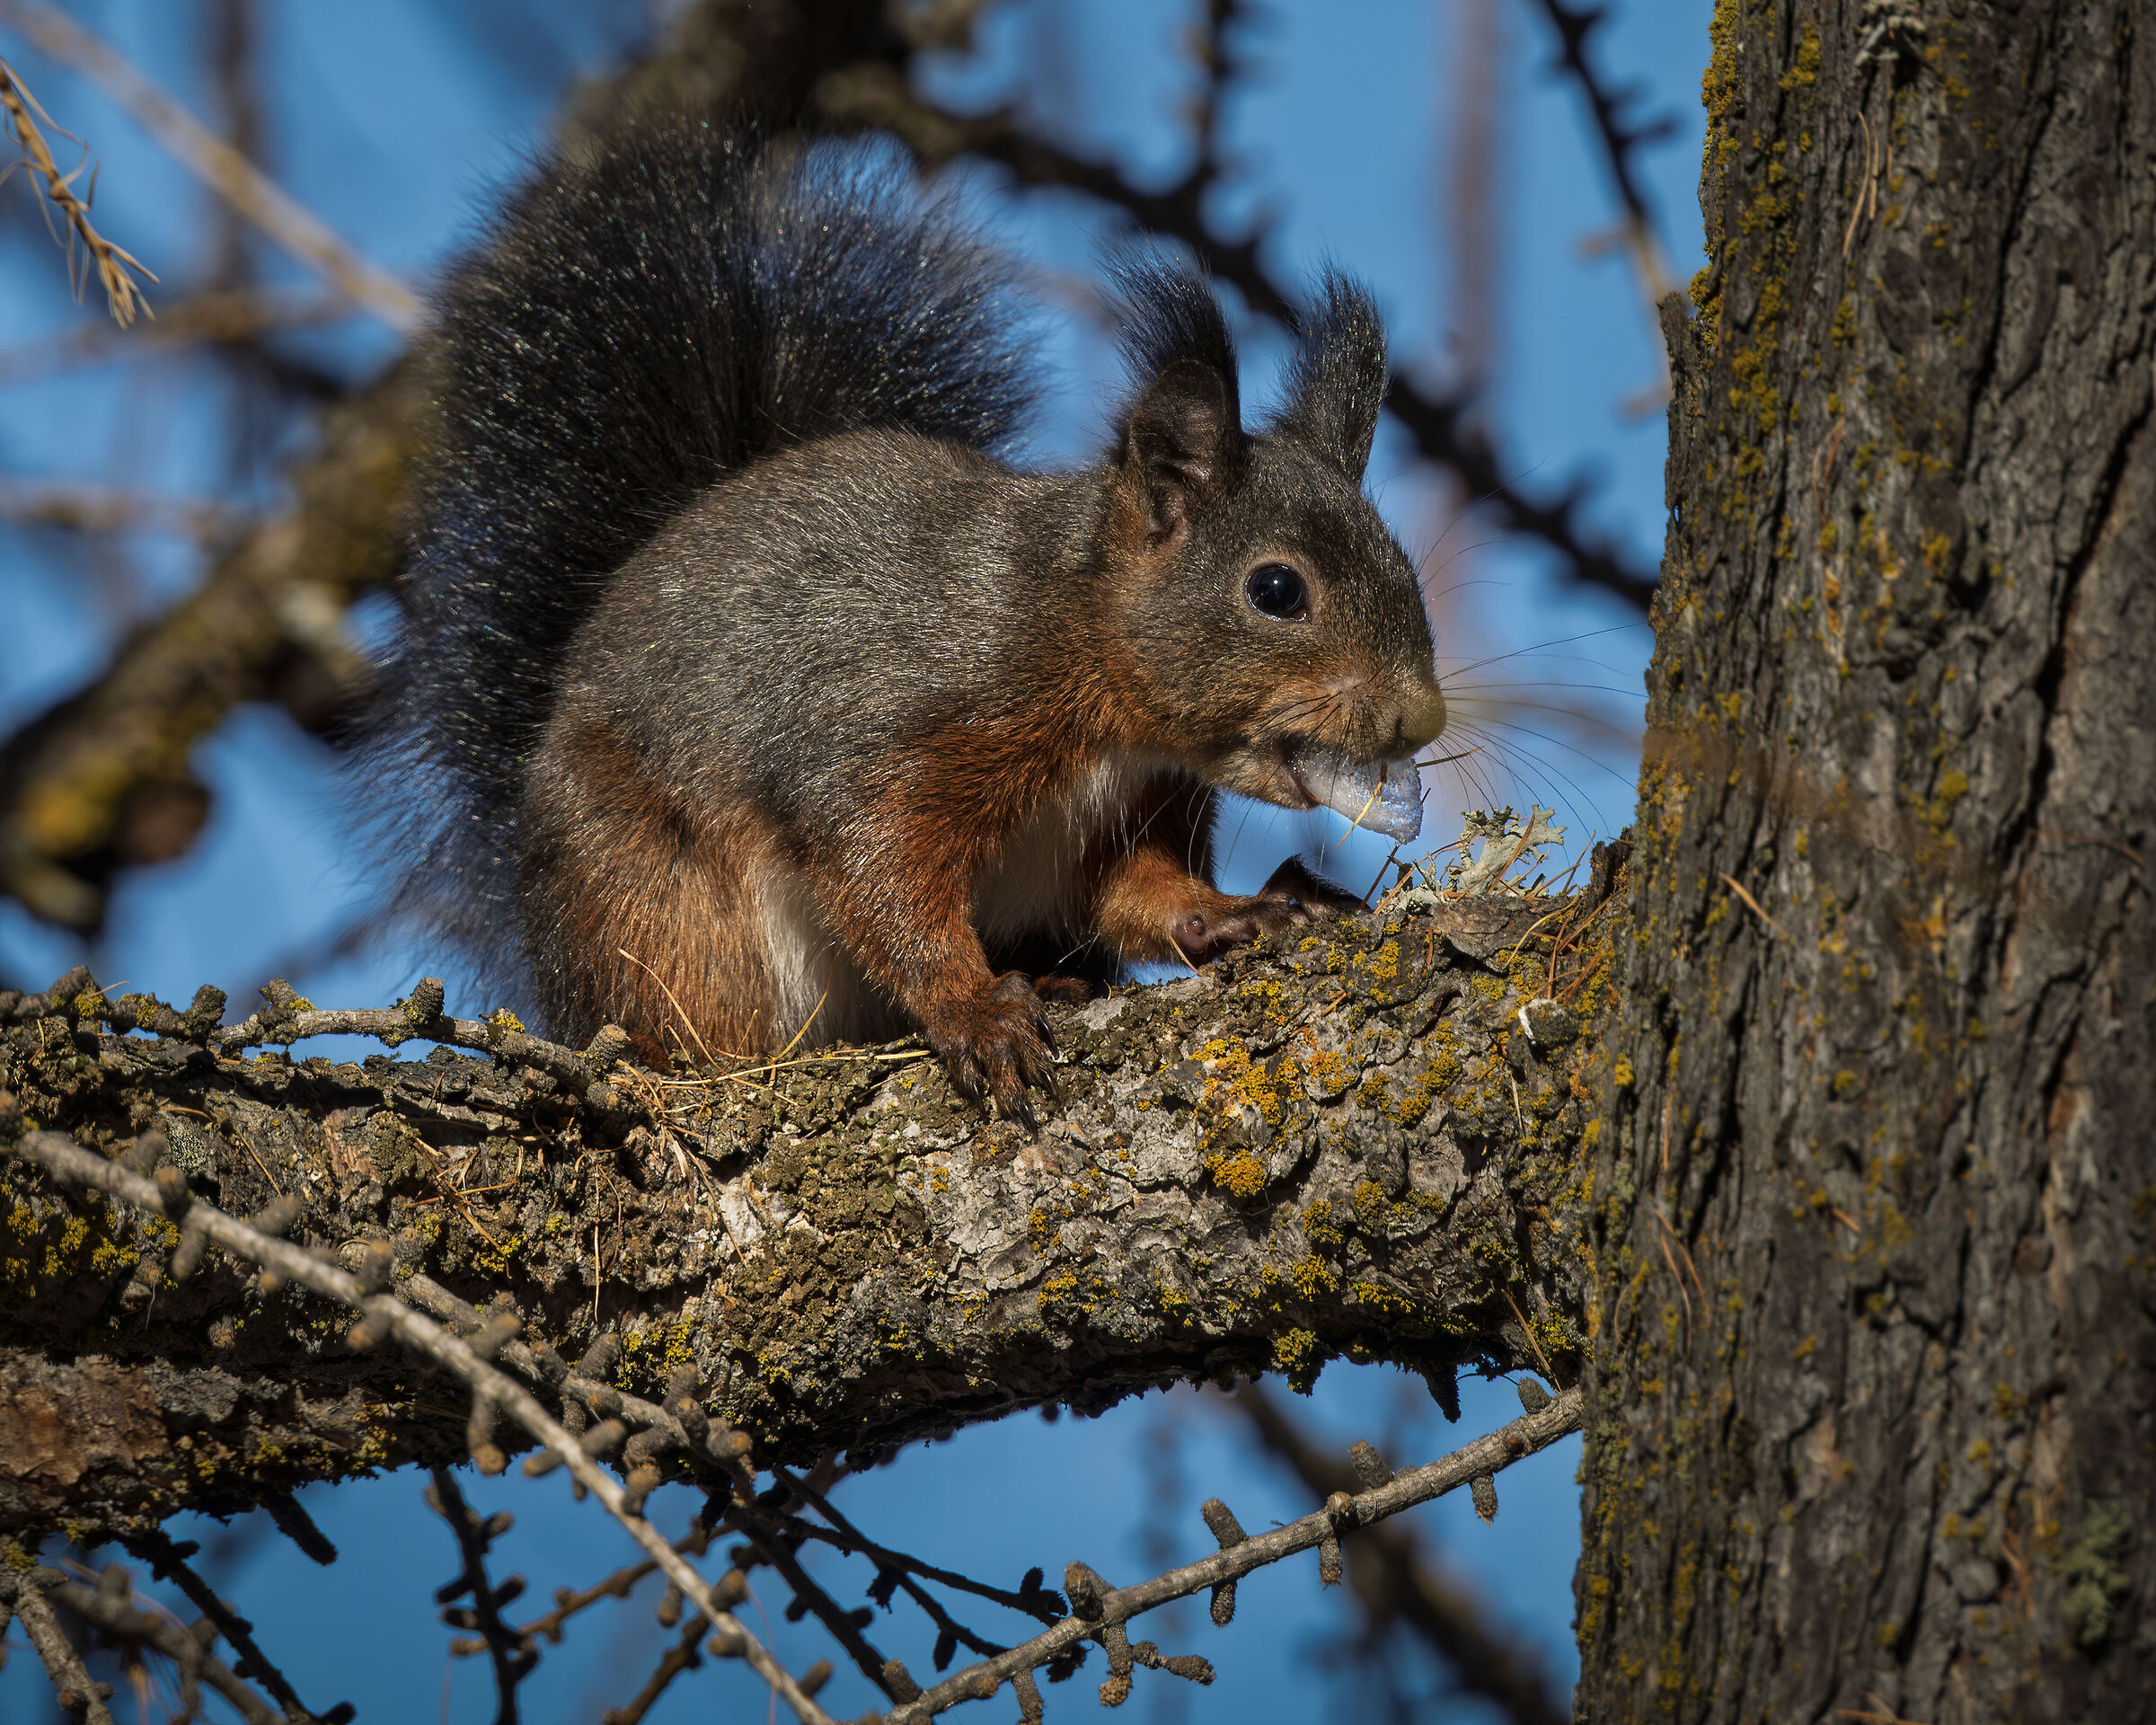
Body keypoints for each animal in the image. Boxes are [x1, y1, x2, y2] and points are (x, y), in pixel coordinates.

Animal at [370, 113, 1446, 1122]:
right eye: (1276, 590)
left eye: (1403, 564)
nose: (1420, 718)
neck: (1083, 658)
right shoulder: (903, 721)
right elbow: (879, 872)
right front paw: (975, 1012)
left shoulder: (1136, 807)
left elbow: (1140, 894)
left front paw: (1233, 913)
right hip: (654, 913)